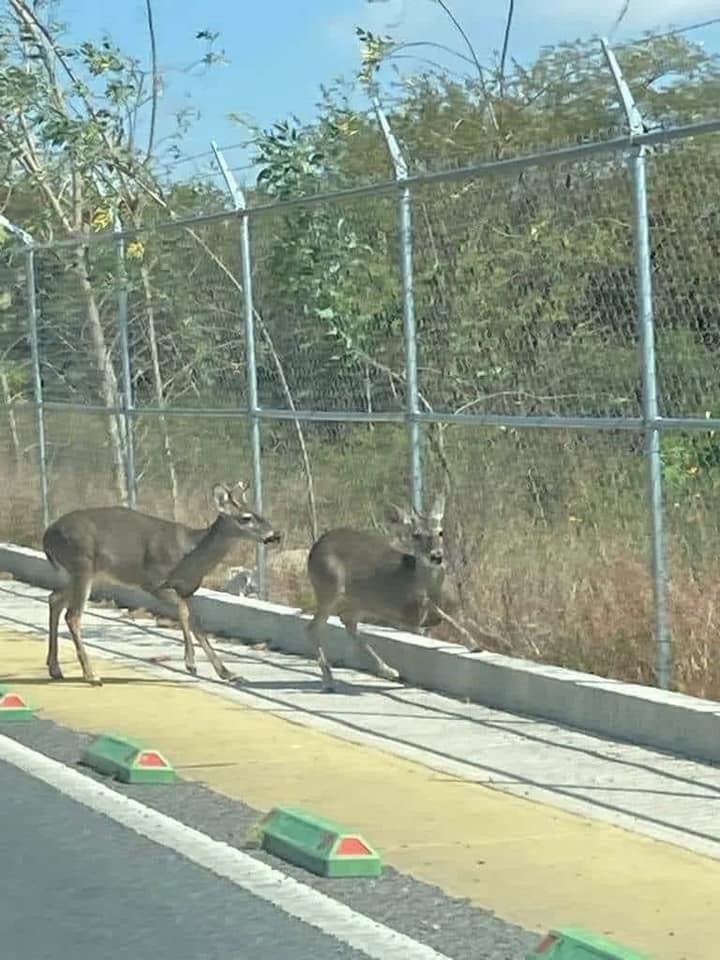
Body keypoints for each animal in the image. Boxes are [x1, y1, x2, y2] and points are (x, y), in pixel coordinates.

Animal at [41, 480, 282, 686]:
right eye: (246, 518)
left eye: (258, 512)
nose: (275, 534)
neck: (189, 553)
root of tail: (46, 536)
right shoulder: (154, 582)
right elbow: (183, 613)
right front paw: (190, 663)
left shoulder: (188, 590)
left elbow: (198, 624)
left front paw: (228, 673)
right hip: (82, 566)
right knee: (72, 615)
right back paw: (91, 675)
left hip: (72, 574)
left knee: (54, 599)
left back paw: (55, 669)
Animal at [306, 493, 447, 691]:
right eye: (416, 535)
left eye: (440, 532)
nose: (436, 556)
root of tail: (315, 547)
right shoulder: (400, 614)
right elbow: (421, 626)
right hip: (331, 587)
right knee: (314, 627)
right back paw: (328, 679)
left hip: (360, 600)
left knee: (347, 621)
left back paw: (388, 671)